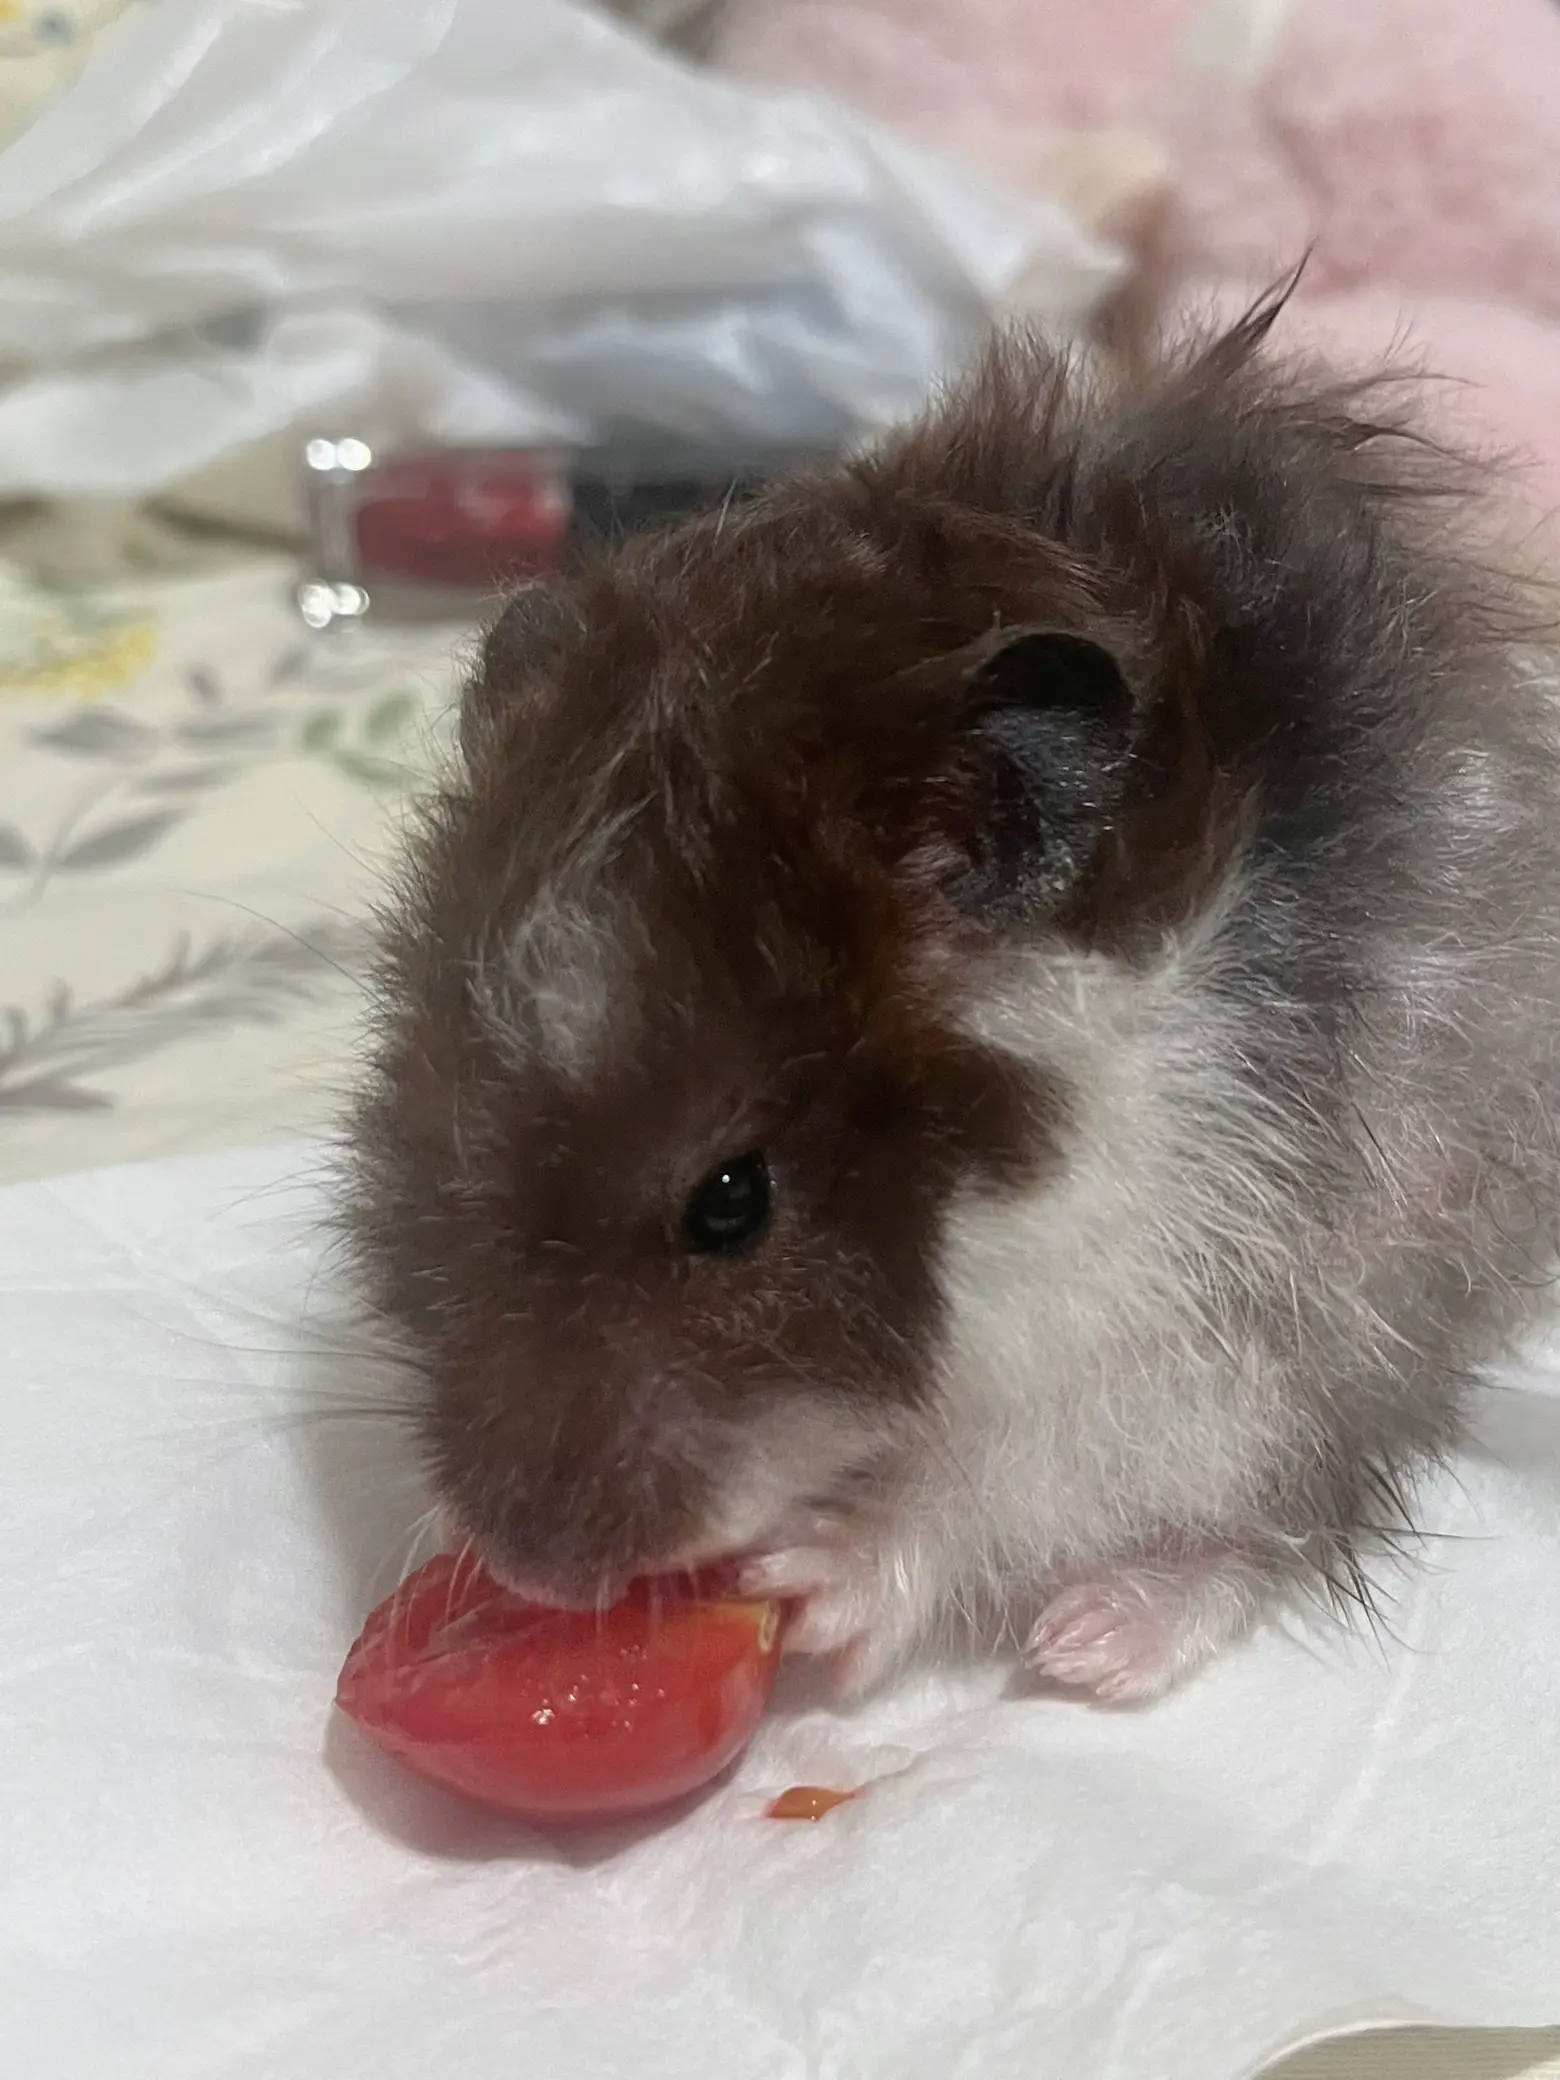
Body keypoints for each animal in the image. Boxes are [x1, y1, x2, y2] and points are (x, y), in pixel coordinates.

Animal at [341, 297, 1560, 1705]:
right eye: (422, 1131)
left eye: (732, 1201)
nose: (530, 1569)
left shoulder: (1196, 1321)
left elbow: (997, 1486)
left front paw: (813, 1593)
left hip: (1373, 1314)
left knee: (1281, 1509)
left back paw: (1096, 1645)